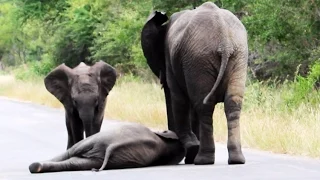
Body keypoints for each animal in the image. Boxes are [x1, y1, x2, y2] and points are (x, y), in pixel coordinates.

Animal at [30, 121, 185, 174]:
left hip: (100, 139)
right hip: (111, 157)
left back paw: (34, 166)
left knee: (70, 153)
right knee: (75, 162)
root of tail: (112, 145)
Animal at [141, 1, 249, 165]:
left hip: (200, 59)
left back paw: (202, 159)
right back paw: (236, 160)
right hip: (237, 57)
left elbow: (178, 99)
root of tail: (224, 40)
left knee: (204, 106)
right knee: (232, 104)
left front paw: (191, 151)